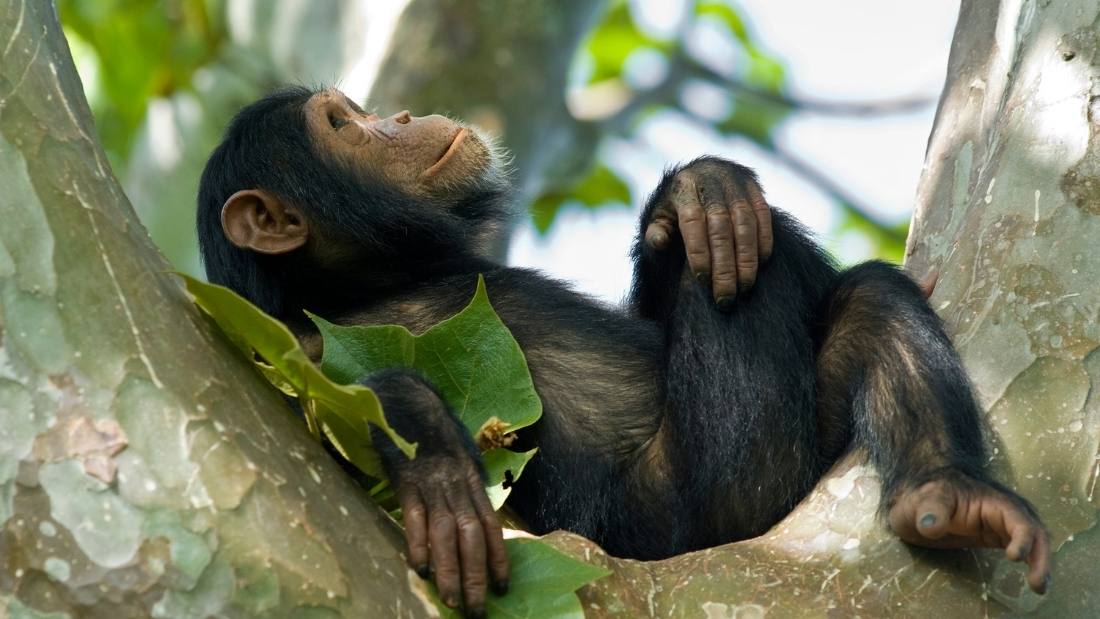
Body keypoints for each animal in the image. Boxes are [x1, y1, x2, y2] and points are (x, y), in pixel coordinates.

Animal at [195, 85, 1047, 615]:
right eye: (341, 125)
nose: (396, 115)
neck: (377, 278)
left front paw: (701, 192)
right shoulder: (290, 344)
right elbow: (327, 409)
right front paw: (435, 464)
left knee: (862, 296)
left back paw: (947, 492)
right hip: (717, 493)